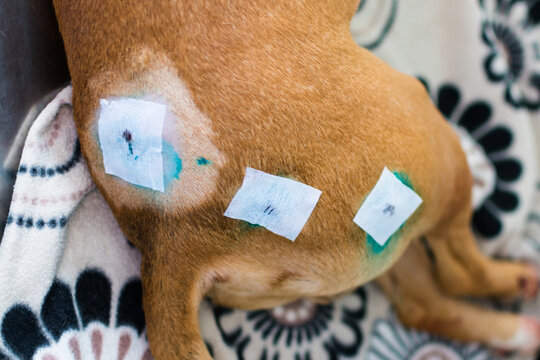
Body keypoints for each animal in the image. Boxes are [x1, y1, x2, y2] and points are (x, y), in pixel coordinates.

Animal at [53, 1, 540, 358]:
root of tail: (169, 237)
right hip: (428, 145)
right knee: (459, 273)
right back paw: (523, 289)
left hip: (381, 232)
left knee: (424, 304)